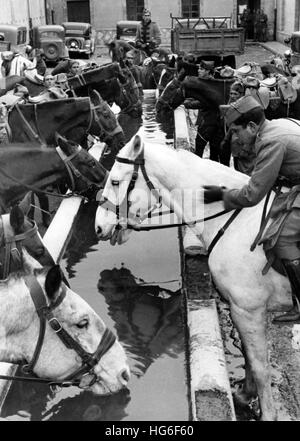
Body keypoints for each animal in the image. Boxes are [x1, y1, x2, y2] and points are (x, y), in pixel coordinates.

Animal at [95, 133, 294, 420]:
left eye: (115, 181)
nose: (98, 227)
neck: (235, 218)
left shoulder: (249, 309)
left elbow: (260, 366)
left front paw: (266, 412)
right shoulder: (242, 310)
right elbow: (248, 357)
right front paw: (245, 394)